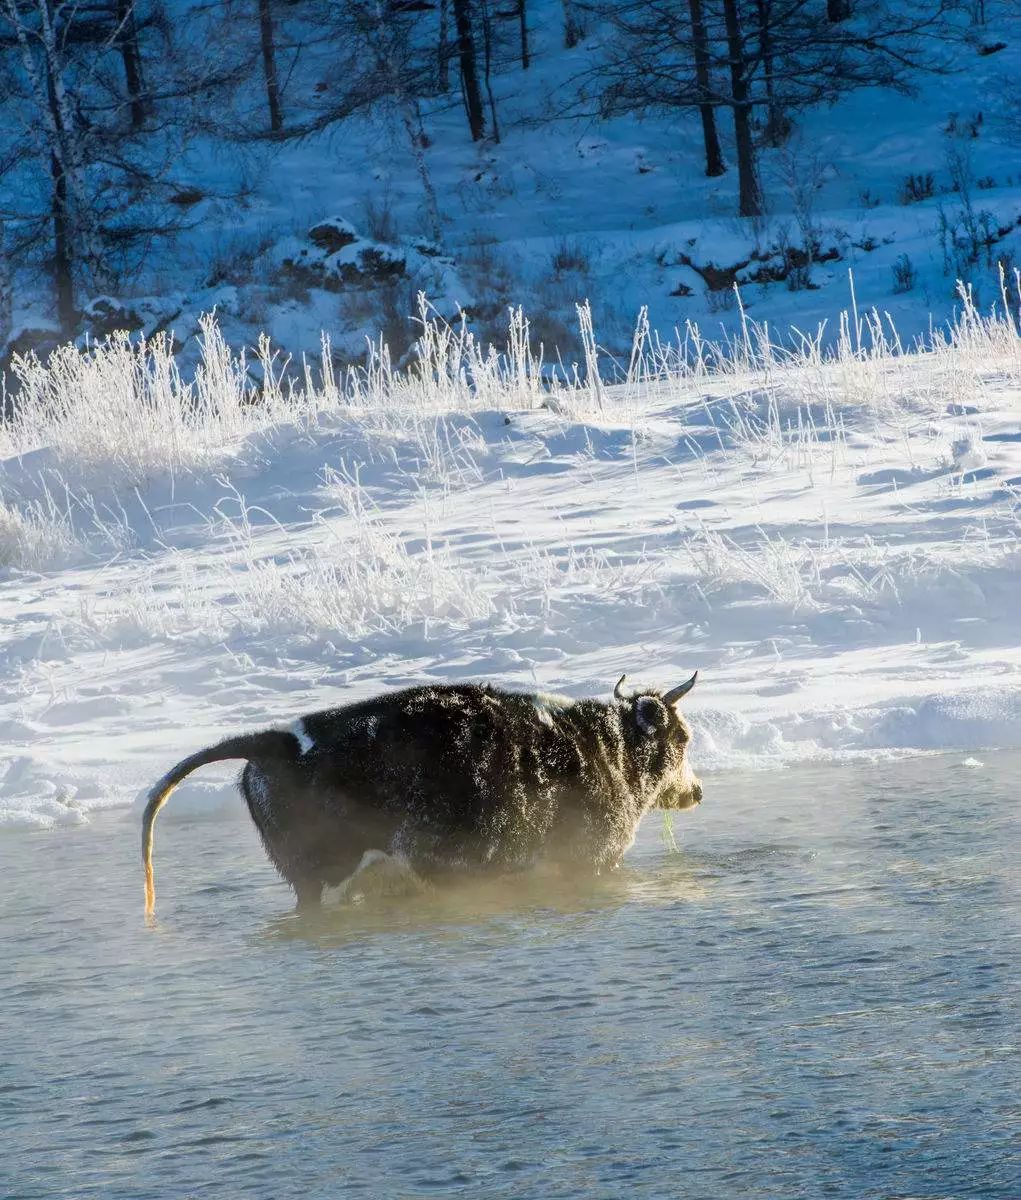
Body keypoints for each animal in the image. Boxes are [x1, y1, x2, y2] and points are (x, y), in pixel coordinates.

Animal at [141, 672, 700, 912]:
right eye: (683, 737)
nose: (695, 791)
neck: (604, 747)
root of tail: (277, 740)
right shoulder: (591, 858)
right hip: (329, 872)